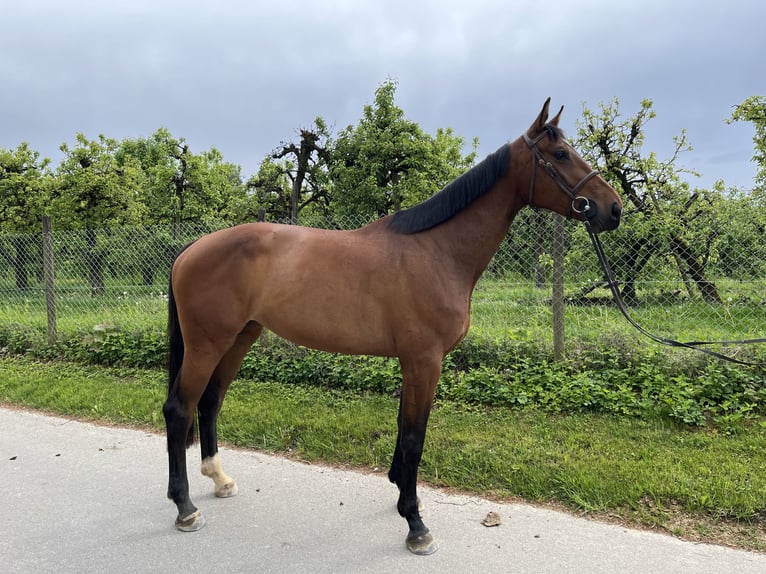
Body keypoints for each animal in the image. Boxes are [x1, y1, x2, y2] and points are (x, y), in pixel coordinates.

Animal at [163, 98, 623, 555]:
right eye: (560, 154)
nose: (613, 209)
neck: (437, 251)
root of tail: (192, 248)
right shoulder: (424, 360)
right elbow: (416, 436)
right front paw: (416, 524)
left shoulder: (412, 362)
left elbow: (404, 428)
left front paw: (401, 492)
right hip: (208, 343)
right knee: (179, 409)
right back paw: (185, 508)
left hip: (240, 337)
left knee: (209, 402)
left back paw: (219, 480)